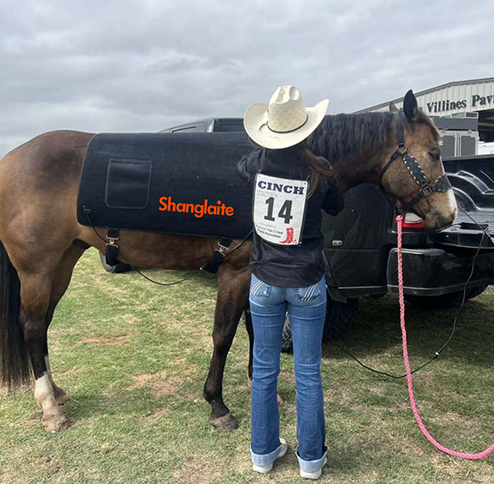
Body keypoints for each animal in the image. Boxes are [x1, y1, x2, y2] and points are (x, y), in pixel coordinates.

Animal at [0, 91, 458, 432]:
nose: (449, 214)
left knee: (43, 326)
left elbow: (258, 329)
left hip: (62, 263)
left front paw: (263, 386)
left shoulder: (258, 271)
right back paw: (50, 408)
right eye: (435, 152)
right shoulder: (235, 271)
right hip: (38, 269)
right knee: (33, 326)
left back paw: (57, 393)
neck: (283, 169)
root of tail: (12, 160)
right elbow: (224, 334)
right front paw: (217, 405)